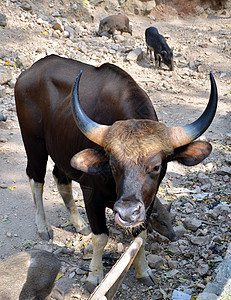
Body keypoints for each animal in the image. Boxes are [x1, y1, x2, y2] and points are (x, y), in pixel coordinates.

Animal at [14, 55, 218, 292]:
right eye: (113, 164)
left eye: (157, 166)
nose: (127, 212)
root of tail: (29, 72)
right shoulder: (91, 193)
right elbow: (101, 236)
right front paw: (95, 276)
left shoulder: (147, 202)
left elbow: (140, 236)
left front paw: (144, 271)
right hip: (34, 143)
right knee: (36, 178)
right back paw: (43, 227)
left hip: (61, 152)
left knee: (61, 178)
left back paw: (79, 224)